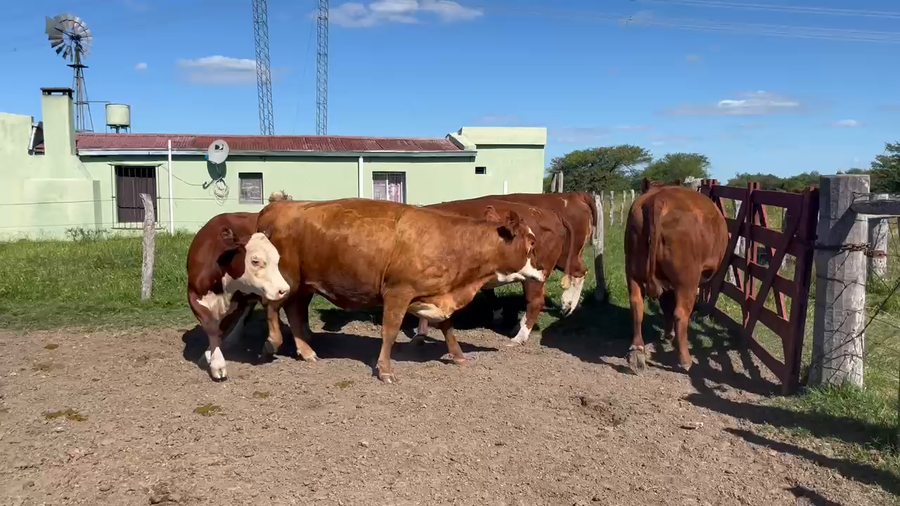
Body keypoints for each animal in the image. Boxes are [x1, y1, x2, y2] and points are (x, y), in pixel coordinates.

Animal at [186, 212, 290, 380]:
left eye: (277, 259)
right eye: (255, 261)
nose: (284, 290)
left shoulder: (237, 302)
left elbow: (221, 328)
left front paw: (213, 359)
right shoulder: (193, 295)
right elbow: (211, 326)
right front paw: (215, 361)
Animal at [256, 198, 545, 383]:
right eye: (531, 242)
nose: (544, 268)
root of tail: (279, 205)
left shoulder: (437, 295)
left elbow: (448, 326)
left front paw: (459, 356)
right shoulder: (398, 292)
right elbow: (391, 331)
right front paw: (385, 370)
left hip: (305, 284)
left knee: (294, 310)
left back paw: (306, 350)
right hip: (287, 279)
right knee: (273, 305)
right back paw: (273, 342)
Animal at [624, 180, 728, 373]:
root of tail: (658, 198)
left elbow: (666, 307)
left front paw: (667, 333)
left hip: (632, 273)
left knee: (637, 305)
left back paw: (637, 351)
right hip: (687, 281)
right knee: (681, 314)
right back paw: (685, 360)